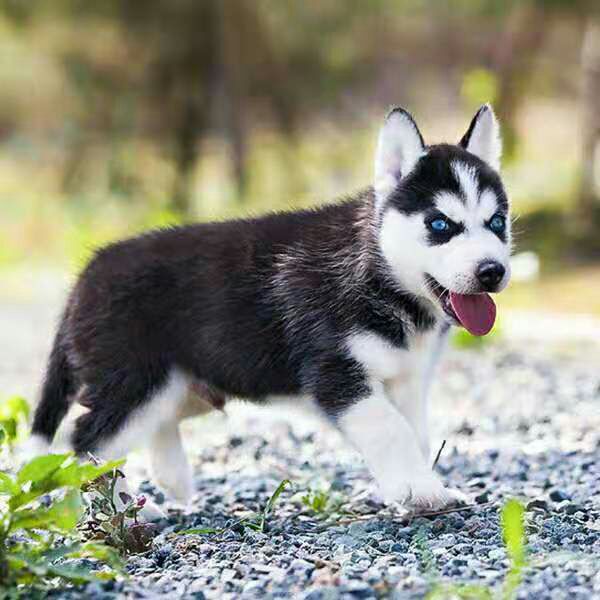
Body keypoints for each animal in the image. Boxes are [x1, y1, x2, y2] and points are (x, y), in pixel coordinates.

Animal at [24, 105, 510, 508]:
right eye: (440, 225)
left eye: (497, 222)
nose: (493, 271)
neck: (380, 274)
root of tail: (87, 273)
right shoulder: (335, 372)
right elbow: (390, 430)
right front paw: (422, 491)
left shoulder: (406, 379)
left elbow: (414, 434)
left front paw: (405, 484)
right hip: (135, 381)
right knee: (86, 442)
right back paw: (123, 506)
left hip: (180, 385)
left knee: (151, 425)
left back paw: (172, 477)